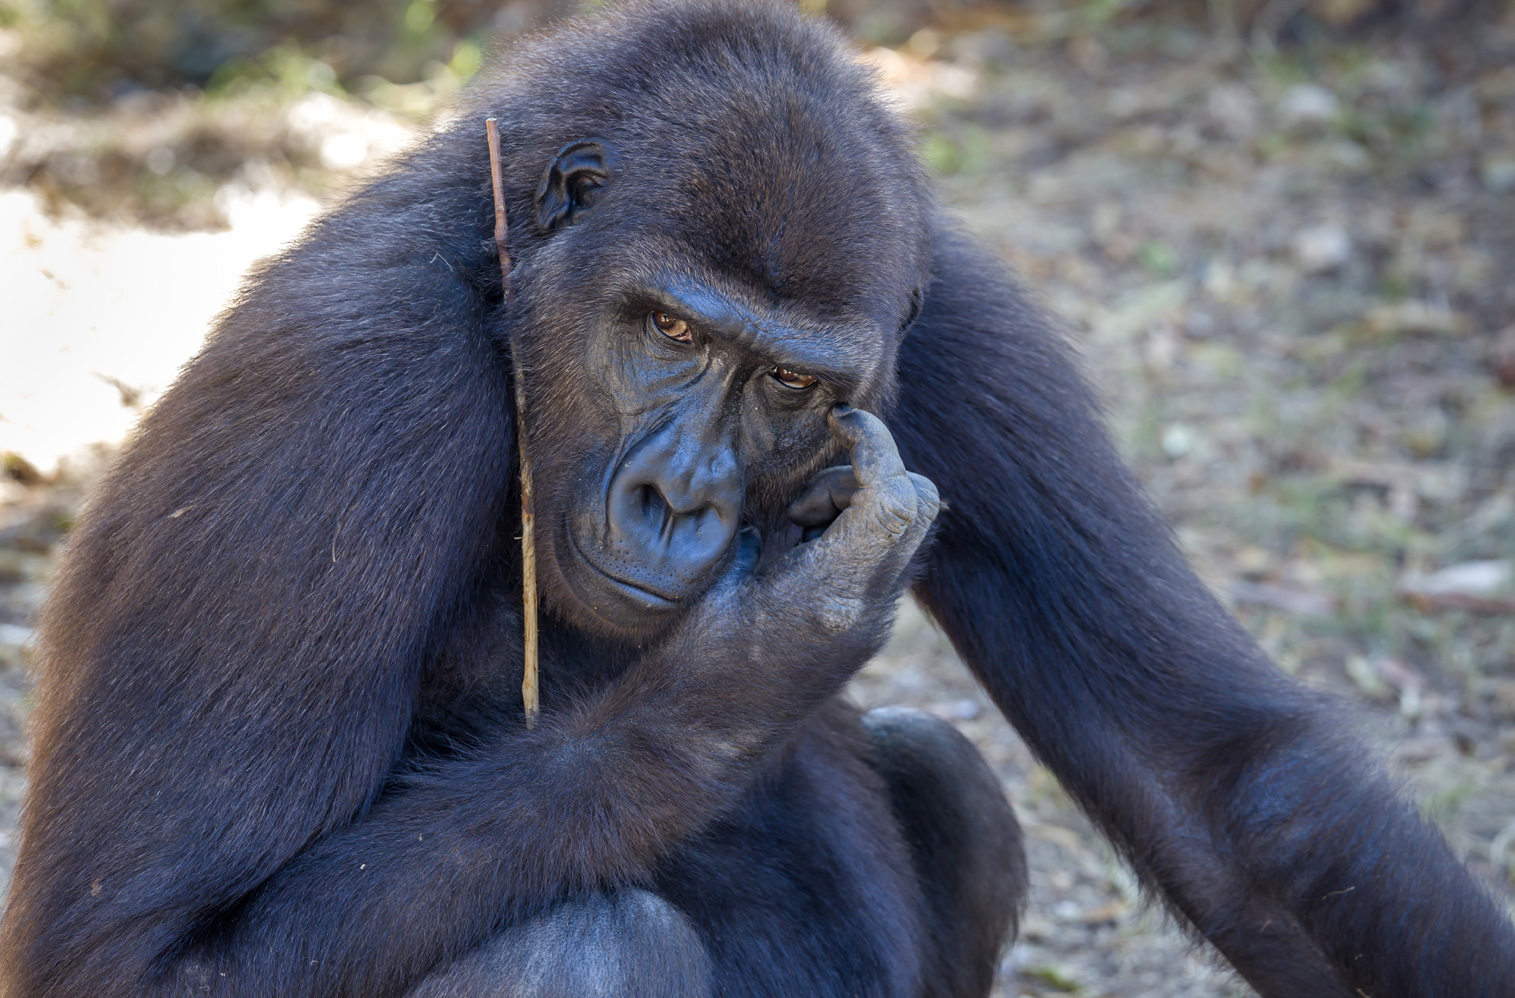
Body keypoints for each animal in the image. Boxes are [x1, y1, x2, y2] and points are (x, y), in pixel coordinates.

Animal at [2, 1, 1515, 998]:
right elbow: (144, 958)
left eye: (787, 379)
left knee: (944, 767)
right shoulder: (343, 394)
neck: (504, 284)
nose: (677, 495)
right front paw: (740, 674)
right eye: (669, 331)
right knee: (587, 942)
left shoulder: (949, 308)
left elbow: (1221, 783)